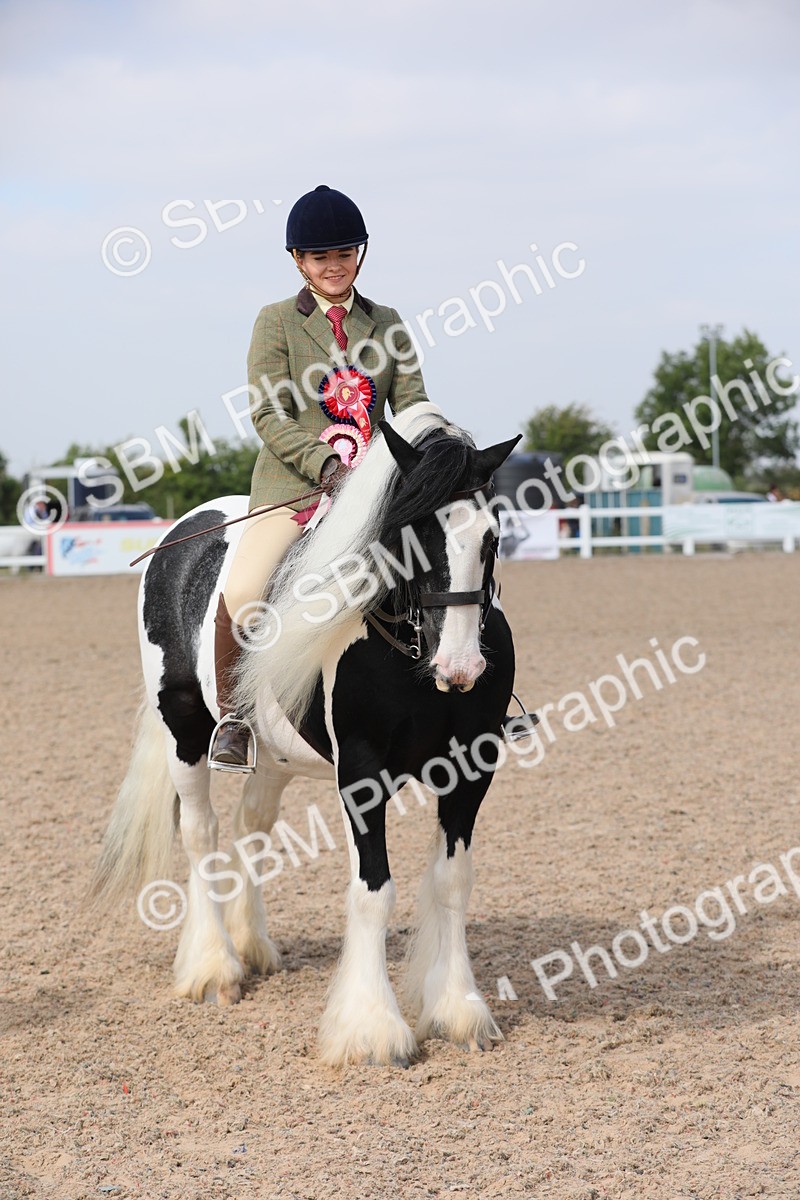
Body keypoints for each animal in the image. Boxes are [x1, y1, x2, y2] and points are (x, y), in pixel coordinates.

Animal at [89, 402, 522, 1066]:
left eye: (490, 538)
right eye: (410, 535)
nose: (460, 669)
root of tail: (179, 536)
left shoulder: (473, 767)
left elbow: (453, 881)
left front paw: (458, 1010)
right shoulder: (362, 773)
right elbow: (374, 890)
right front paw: (371, 1030)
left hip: (271, 755)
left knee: (251, 826)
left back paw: (253, 946)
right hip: (182, 728)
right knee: (201, 832)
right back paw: (214, 968)